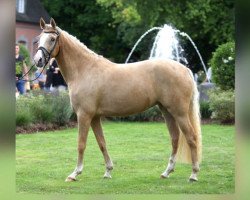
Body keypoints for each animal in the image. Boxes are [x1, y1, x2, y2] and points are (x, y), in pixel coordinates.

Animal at [34, 18, 201, 183]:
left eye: (52, 39)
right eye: (39, 39)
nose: (38, 60)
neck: (85, 70)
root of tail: (185, 70)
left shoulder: (84, 115)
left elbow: (81, 144)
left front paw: (75, 173)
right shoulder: (95, 117)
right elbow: (102, 143)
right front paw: (108, 171)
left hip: (179, 113)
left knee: (191, 138)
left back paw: (193, 174)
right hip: (167, 111)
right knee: (175, 138)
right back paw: (167, 172)